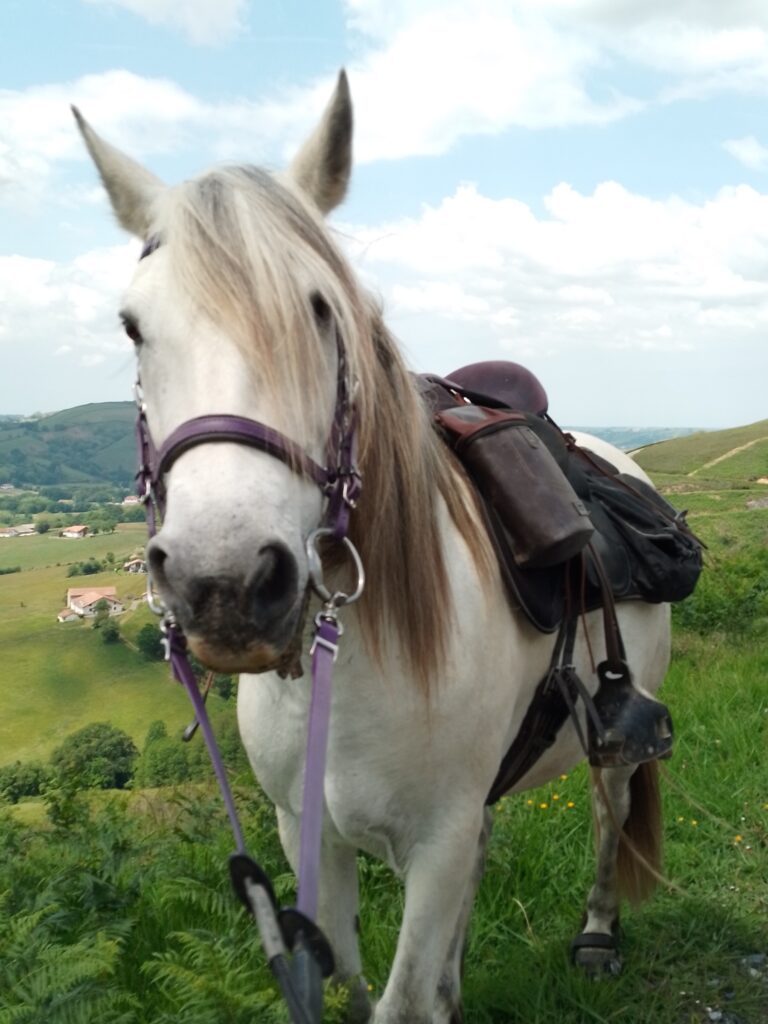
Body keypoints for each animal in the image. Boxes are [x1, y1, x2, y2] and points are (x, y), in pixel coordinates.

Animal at [75, 71, 671, 1024]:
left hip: (619, 728)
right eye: (133, 326)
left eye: (321, 311)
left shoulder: (435, 843)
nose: (224, 585)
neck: (347, 672)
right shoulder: (308, 839)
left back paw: (598, 935)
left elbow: (399, 998)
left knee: (609, 812)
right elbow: (354, 983)